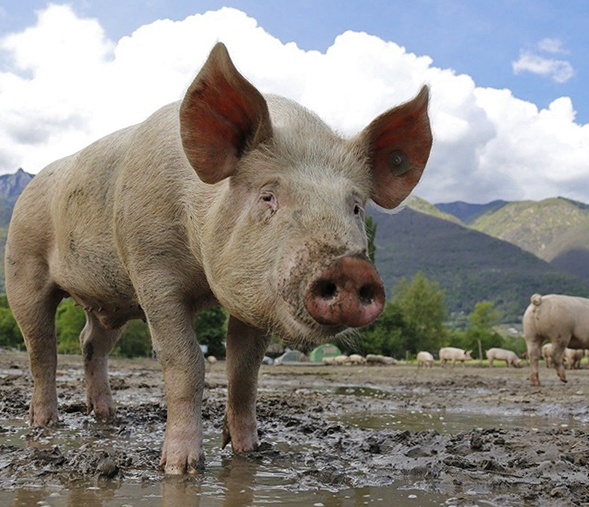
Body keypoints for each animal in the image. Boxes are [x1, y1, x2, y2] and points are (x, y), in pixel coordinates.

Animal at [4, 41, 432, 474]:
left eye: (356, 207)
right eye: (268, 196)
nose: (350, 267)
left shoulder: (254, 297)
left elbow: (244, 371)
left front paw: (249, 452)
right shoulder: (152, 270)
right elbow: (186, 362)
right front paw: (181, 467)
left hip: (109, 299)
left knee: (91, 342)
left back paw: (107, 416)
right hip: (22, 265)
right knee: (42, 347)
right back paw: (44, 424)